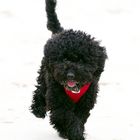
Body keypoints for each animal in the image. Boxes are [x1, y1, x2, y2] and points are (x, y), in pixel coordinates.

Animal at [30, 0, 107, 139]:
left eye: (82, 60)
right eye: (63, 58)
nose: (70, 75)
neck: (75, 89)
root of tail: (60, 32)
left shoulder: (85, 102)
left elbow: (79, 118)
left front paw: (74, 132)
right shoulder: (59, 101)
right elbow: (67, 117)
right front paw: (74, 134)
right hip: (46, 74)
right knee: (40, 90)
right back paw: (38, 109)